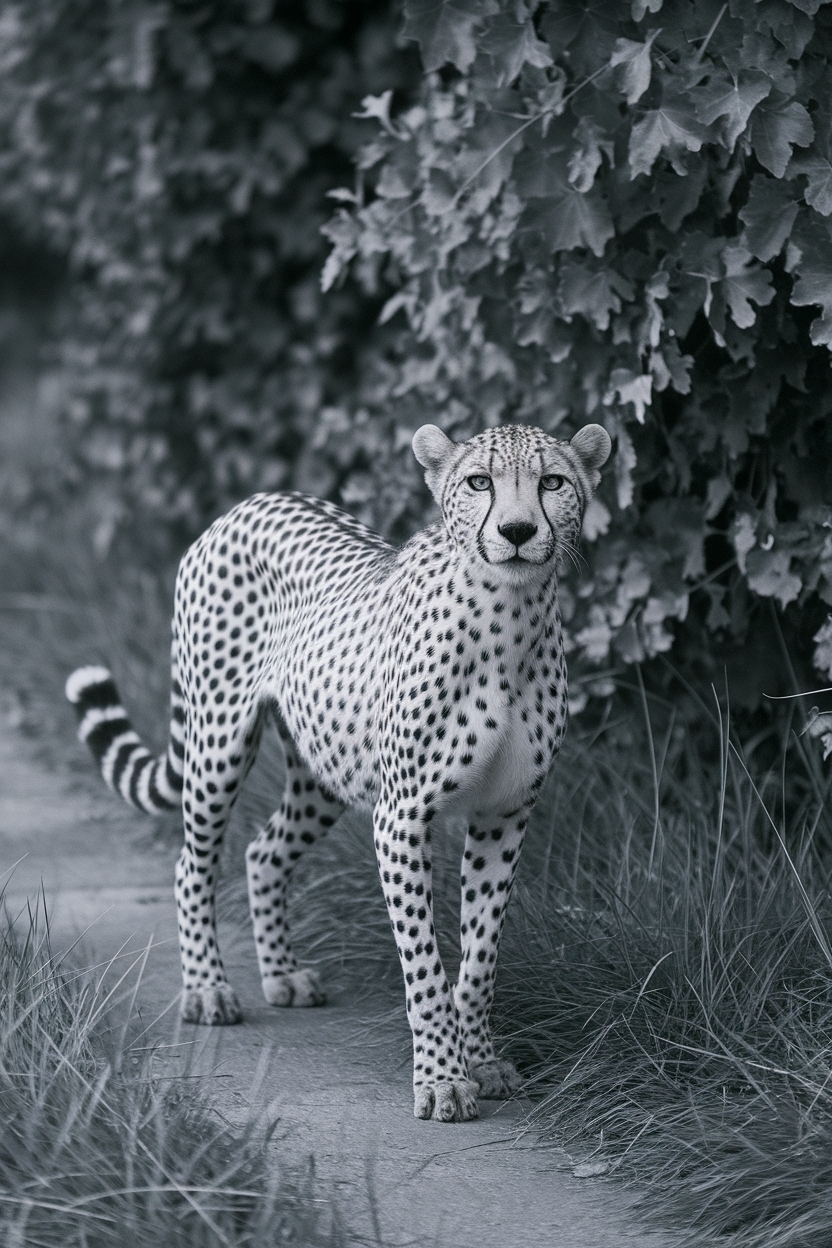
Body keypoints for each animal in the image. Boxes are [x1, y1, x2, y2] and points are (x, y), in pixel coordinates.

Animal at [66, 420, 610, 1123]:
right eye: (478, 482)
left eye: (553, 482)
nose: (517, 531)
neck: (508, 619)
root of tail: (248, 503)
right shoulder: (401, 818)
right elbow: (425, 965)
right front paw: (442, 1078)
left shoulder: (505, 815)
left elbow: (481, 956)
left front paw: (483, 1062)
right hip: (218, 745)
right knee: (193, 864)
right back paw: (207, 989)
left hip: (322, 770)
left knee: (262, 852)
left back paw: (280, 974)